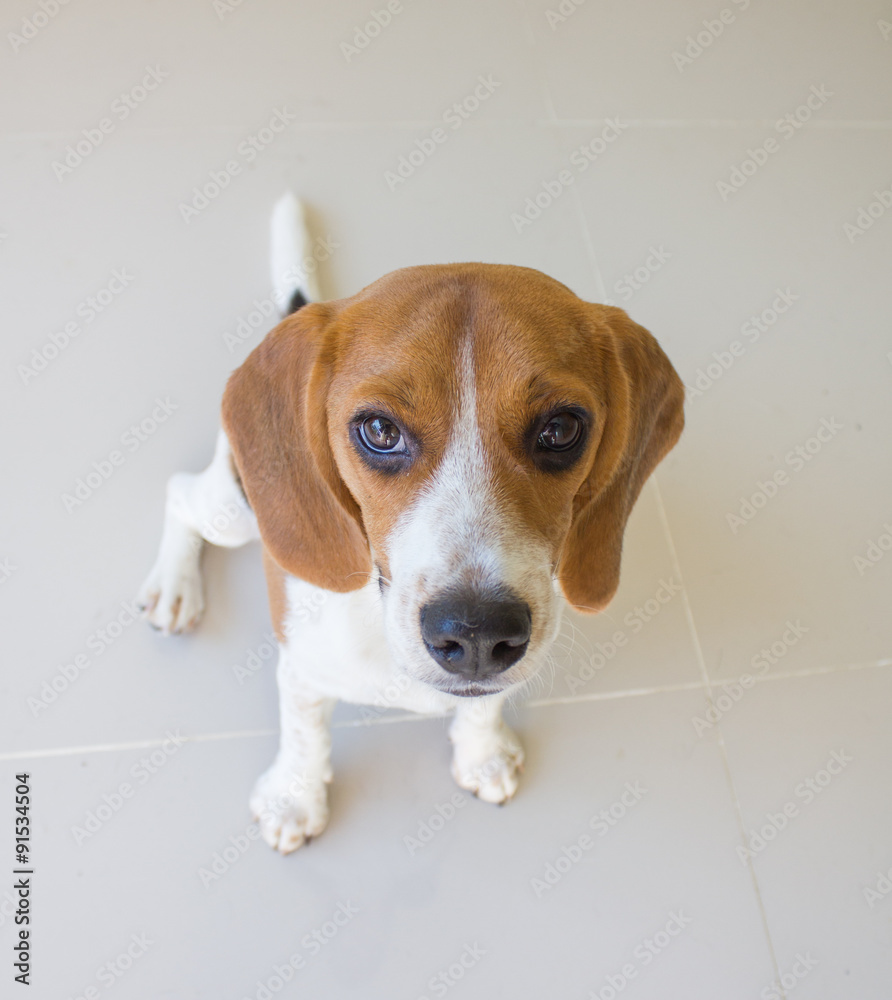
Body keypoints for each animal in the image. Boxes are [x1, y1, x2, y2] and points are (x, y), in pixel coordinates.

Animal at [138, 195, 684, 852]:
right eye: (379, 430)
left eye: (561, 429)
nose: (477, 634)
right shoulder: (302, 669)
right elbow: (304, 734)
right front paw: (295, 797)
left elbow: (483, 705)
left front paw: (481, 752)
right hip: (235, 510)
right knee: (178, 494)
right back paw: (174, 588)